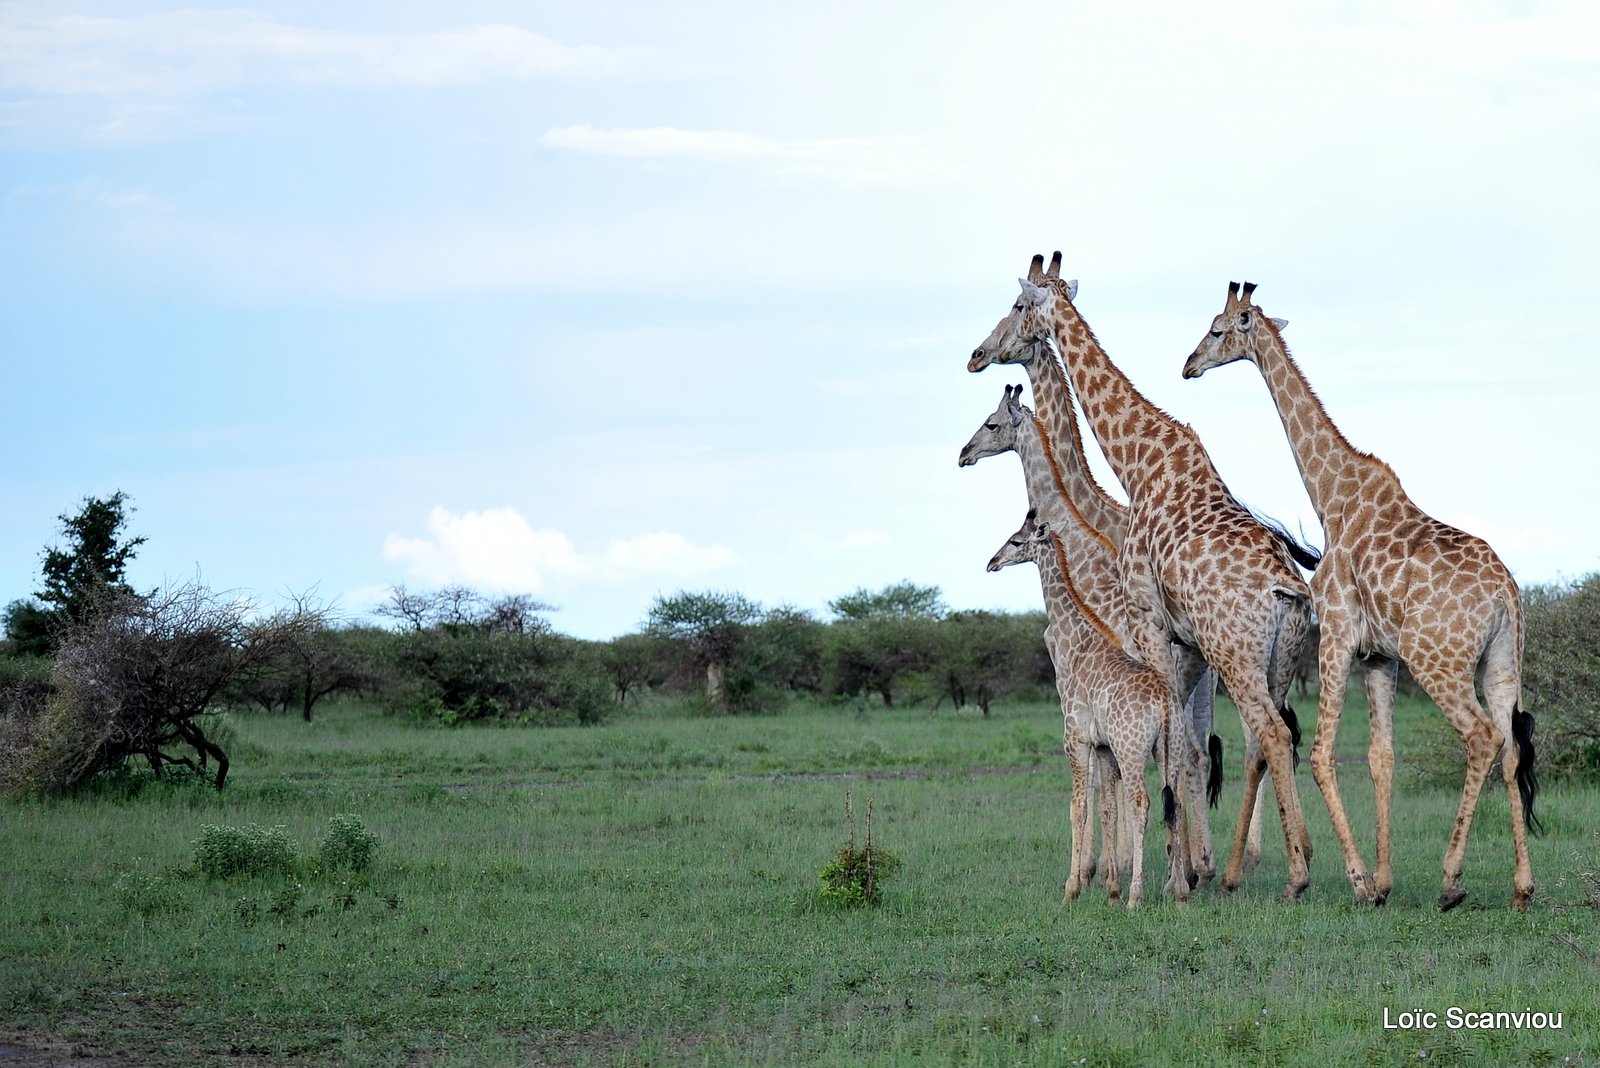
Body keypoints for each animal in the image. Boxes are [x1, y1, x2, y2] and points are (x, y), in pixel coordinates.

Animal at [979, 508, 1196, 908]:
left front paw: (1073, 888)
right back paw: (1178, 892)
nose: (992, 563)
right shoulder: (1103, 746)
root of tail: (1163, 701)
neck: (1078, 641)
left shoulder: (1076, 738)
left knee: (1142, 803)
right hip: (1166, 749)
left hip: (1132, 749)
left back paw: (1137, 896)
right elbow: (1106, 807)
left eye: (1016, 541)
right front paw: (1110, 889)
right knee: (1172, 803)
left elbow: (1077, 807)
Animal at [1190, 278, 1536, 908]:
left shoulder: (1336, 635)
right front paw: (1383, 878)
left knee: (1481, 738)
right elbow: (1380, 758)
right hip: (1502, 659)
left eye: (1218, 328)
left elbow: (1322, 754)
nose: (1188, 365)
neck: (1332, 496)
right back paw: (1523, 887)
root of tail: (1506, 596)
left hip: (1439, 660)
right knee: (1511, 746)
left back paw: (1451, 881)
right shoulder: (1379, 657)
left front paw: (1358, 882)